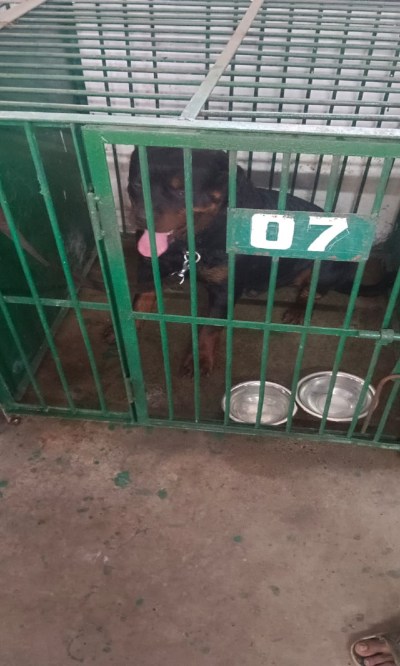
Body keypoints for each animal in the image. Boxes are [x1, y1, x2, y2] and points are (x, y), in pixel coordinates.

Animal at [129, 147, 385, 376]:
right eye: (136, 186)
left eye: (182, 192)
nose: (140, 217)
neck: (193, 244)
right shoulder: (150, 265)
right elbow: (141, 297)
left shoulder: (225, 290)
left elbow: (210, 328)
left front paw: (200, 358)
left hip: (325, 265)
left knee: (313, 291)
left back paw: (298, 309)